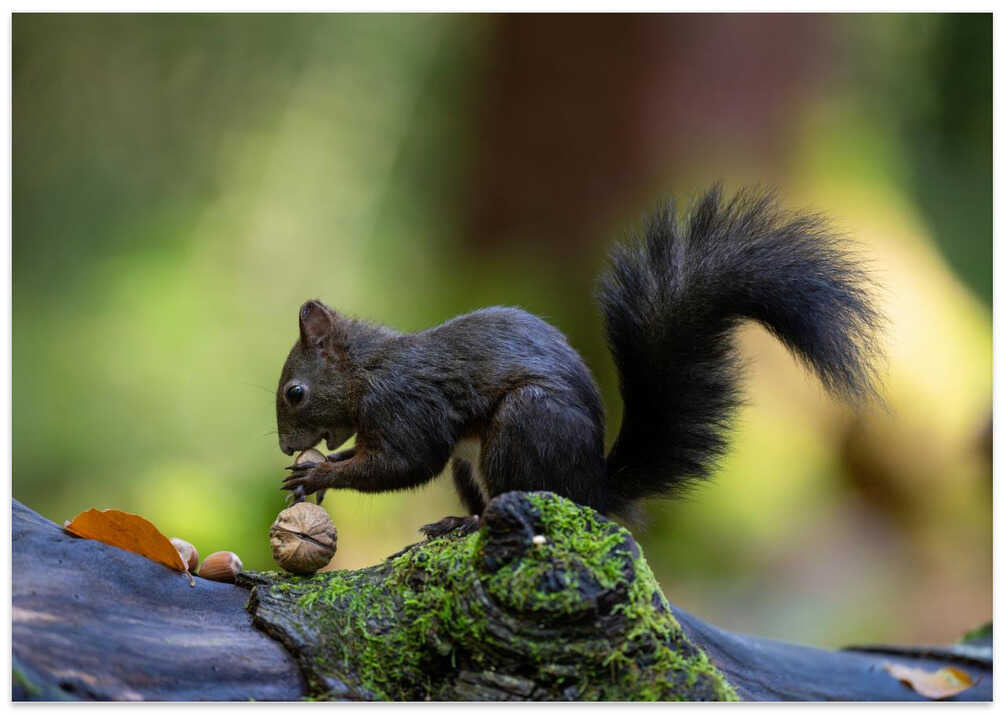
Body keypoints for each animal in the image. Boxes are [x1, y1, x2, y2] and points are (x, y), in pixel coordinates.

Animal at [277, 186, 882, 532]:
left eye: (295, 392)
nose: (285, 447)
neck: (366, 372)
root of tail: (594, 488)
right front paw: (319, 468)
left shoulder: (405, 404)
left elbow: (405, 462)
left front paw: (319, 473)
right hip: (472, 463)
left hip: (524, 426)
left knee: (523, 499)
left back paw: (466, 527)